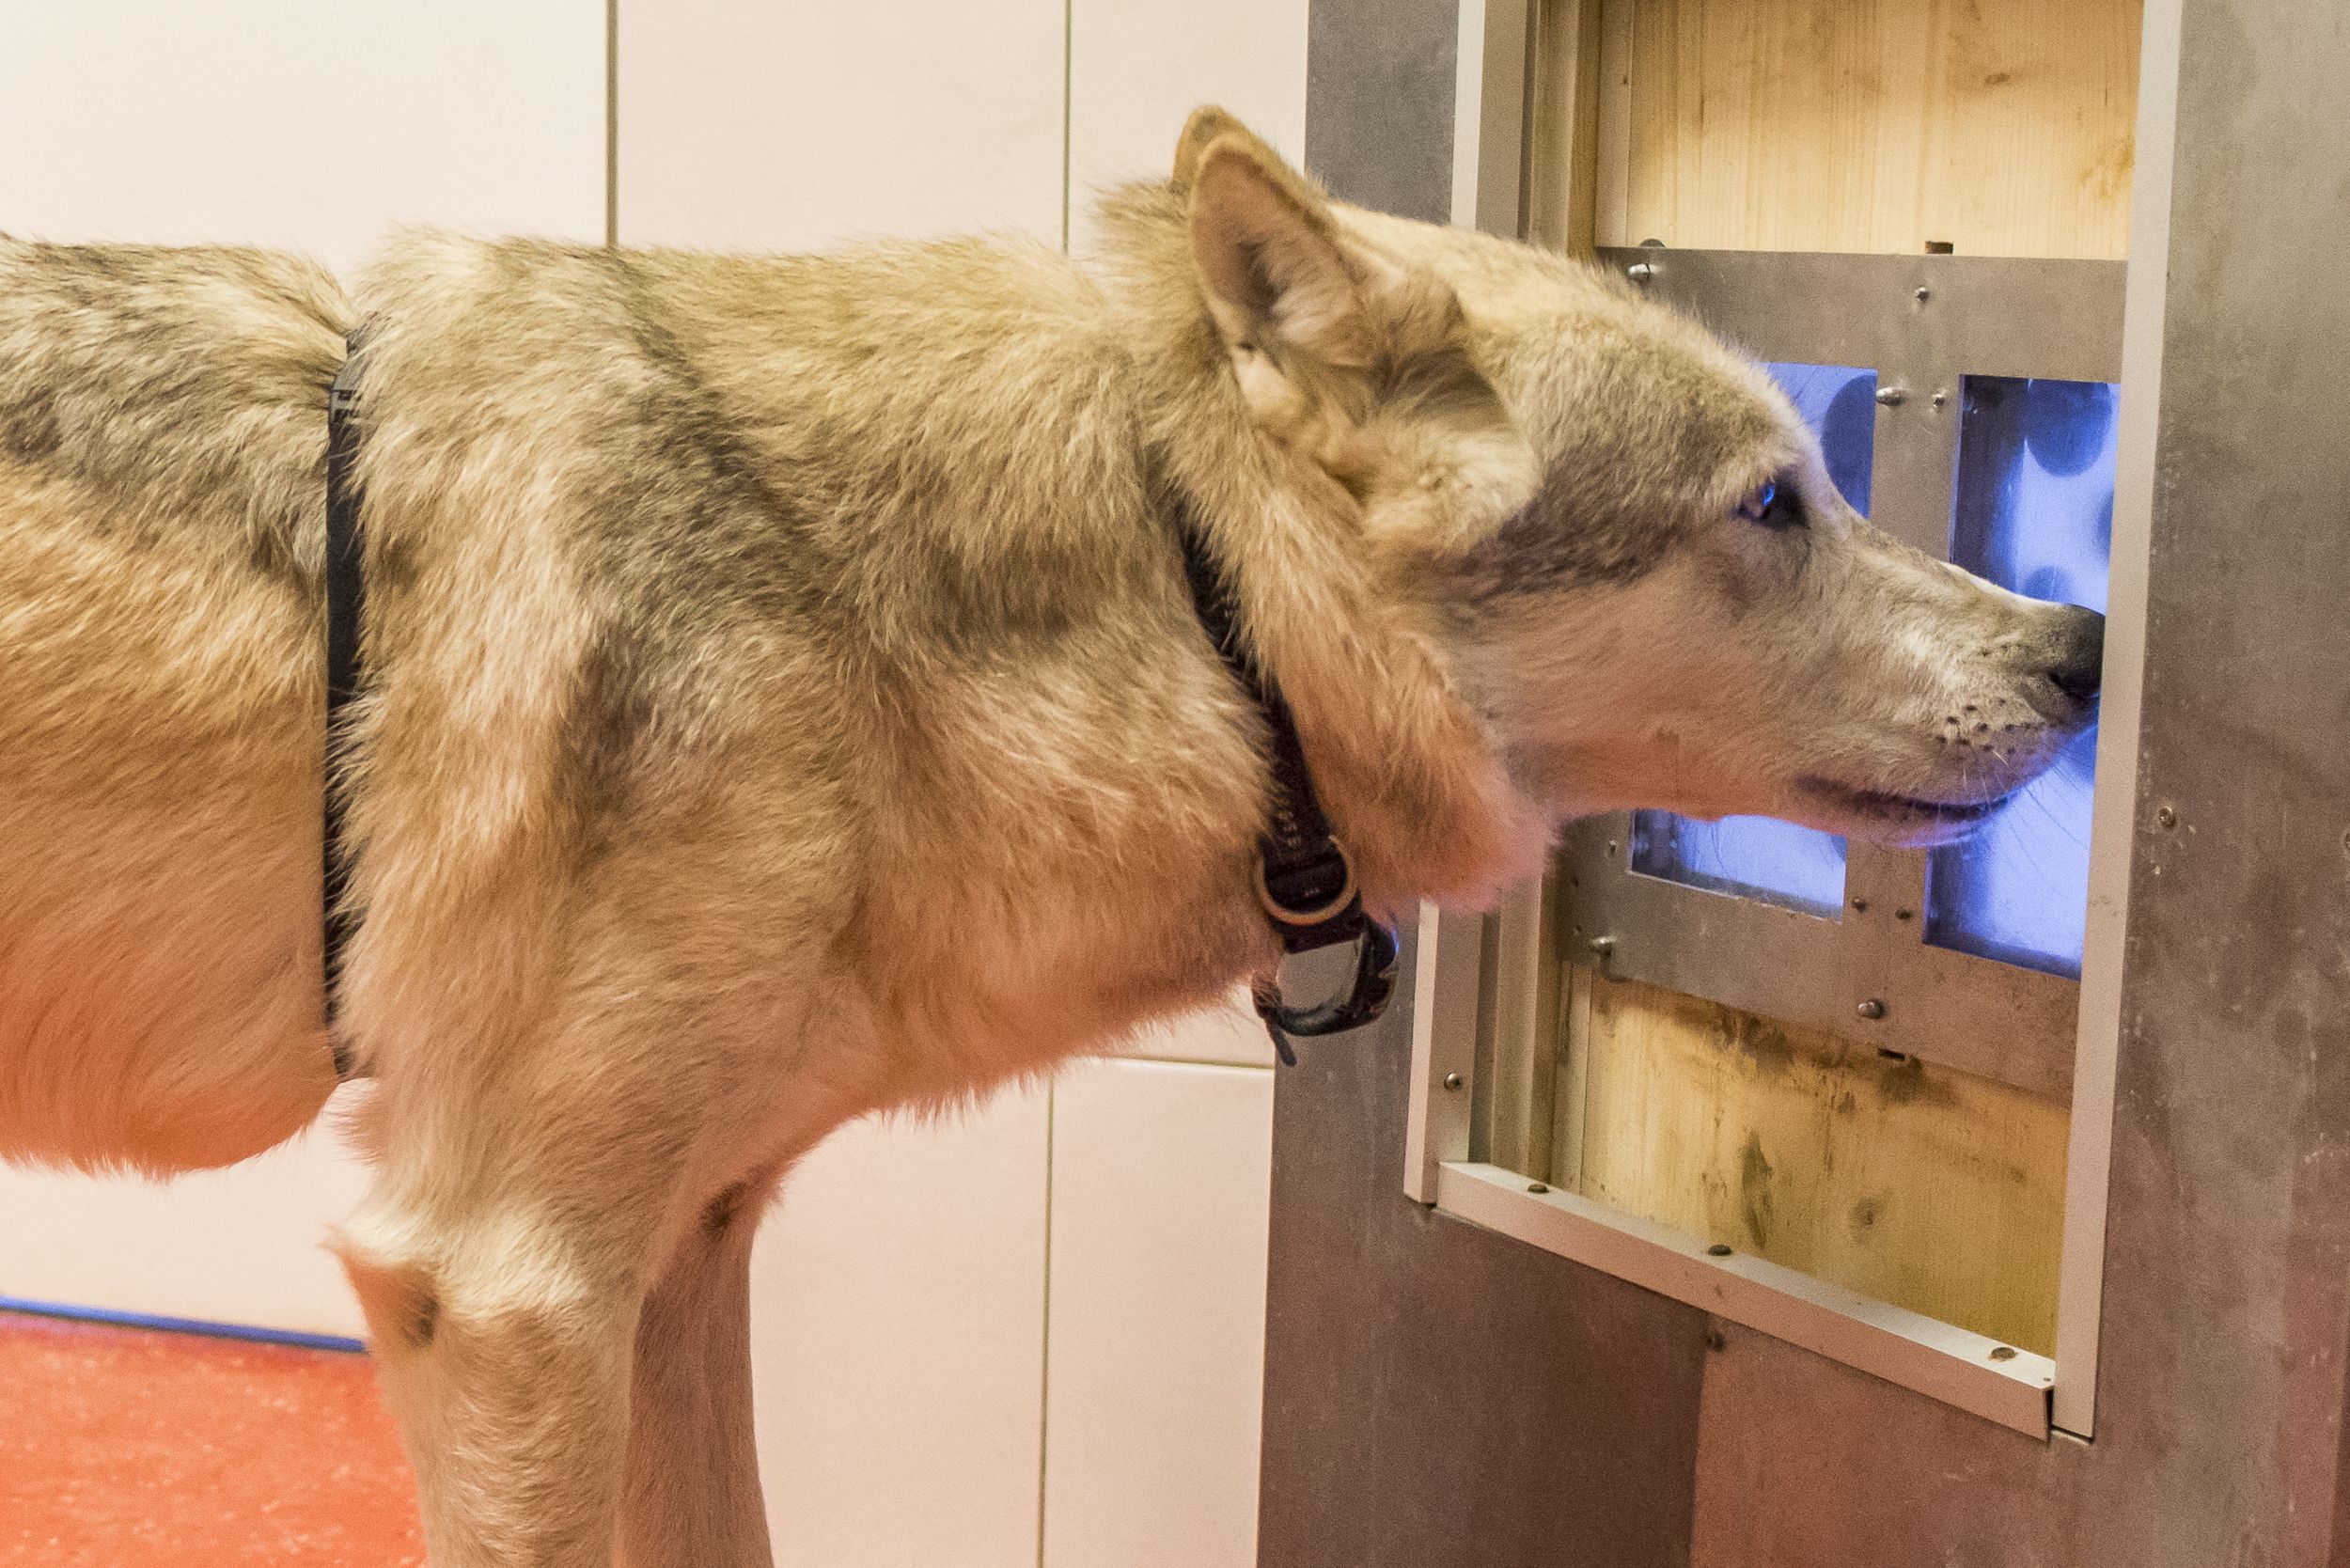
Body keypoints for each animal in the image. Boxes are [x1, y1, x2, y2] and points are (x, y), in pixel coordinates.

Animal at [0, 103, 2096, 1560]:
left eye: (1821, 475)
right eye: (1770, 502)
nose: (2082, 646)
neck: (1176, 587)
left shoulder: (676, 1261)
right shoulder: (501, 1287)